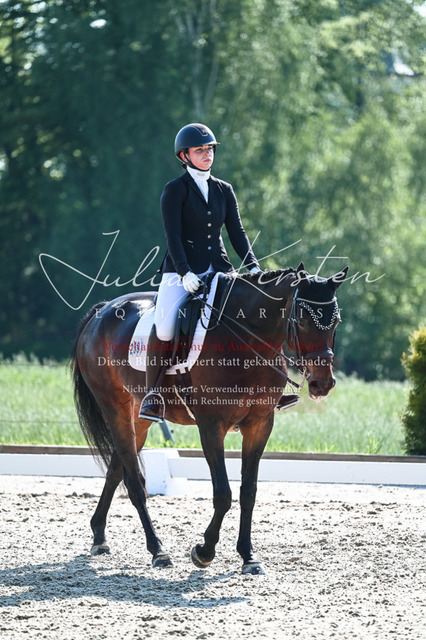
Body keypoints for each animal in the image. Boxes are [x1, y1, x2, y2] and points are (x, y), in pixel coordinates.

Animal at [70, 262, 348, 574]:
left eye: (336, 321)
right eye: (301, 320)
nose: (322, 384)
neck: (247, 338)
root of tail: (103, 309)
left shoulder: (260, 425)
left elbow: (248, 491)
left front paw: (249, 556)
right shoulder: (211, 426)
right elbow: (223, 493)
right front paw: (204, 551)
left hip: (137, 417)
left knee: (117, 469)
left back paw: (99, 537)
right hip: (114, 407)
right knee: (135, 483)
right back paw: (158, 550)